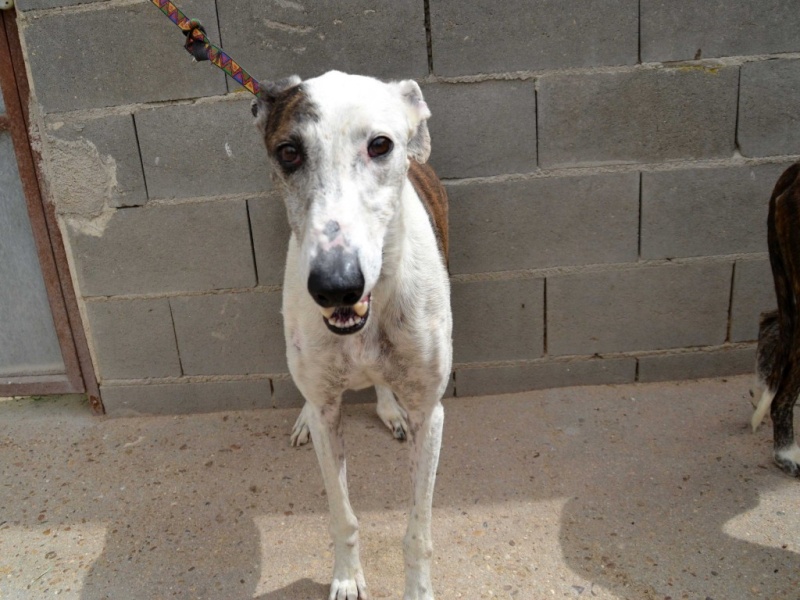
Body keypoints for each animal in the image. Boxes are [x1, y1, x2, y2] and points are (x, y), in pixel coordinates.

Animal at [252, 70, 450, 600]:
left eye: (380, 145)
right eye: (289, 152)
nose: (336, 286)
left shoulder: (431, 411)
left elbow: (419, 533)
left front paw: (418, 590)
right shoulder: (328, 412)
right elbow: (342, 516)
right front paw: (345, 578)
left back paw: (388, 407)